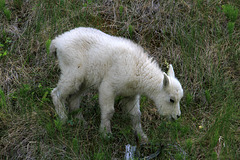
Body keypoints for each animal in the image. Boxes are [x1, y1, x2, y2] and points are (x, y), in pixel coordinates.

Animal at [49, 27, 183, 141]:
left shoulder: (131, 94)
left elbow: (136, 114)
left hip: (85, 80)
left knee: (74, 98)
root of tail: (57, 42)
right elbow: (109, 111)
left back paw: (81, 121)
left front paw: (142, 137)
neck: (138, 70)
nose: (177, 116)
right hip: (73, 70)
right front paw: (105, 133)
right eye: (171, 100)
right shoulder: (108, 86)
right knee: (57, 93)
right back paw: (63, 118)